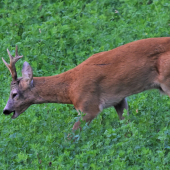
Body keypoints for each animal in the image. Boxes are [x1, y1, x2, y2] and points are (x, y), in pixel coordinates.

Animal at [2, 37, 170, 130]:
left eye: (14, 94)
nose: (5, 110)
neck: (69, 89)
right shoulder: (119, 99)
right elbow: (126, 124)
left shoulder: (89, 106)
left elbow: (71, 134)